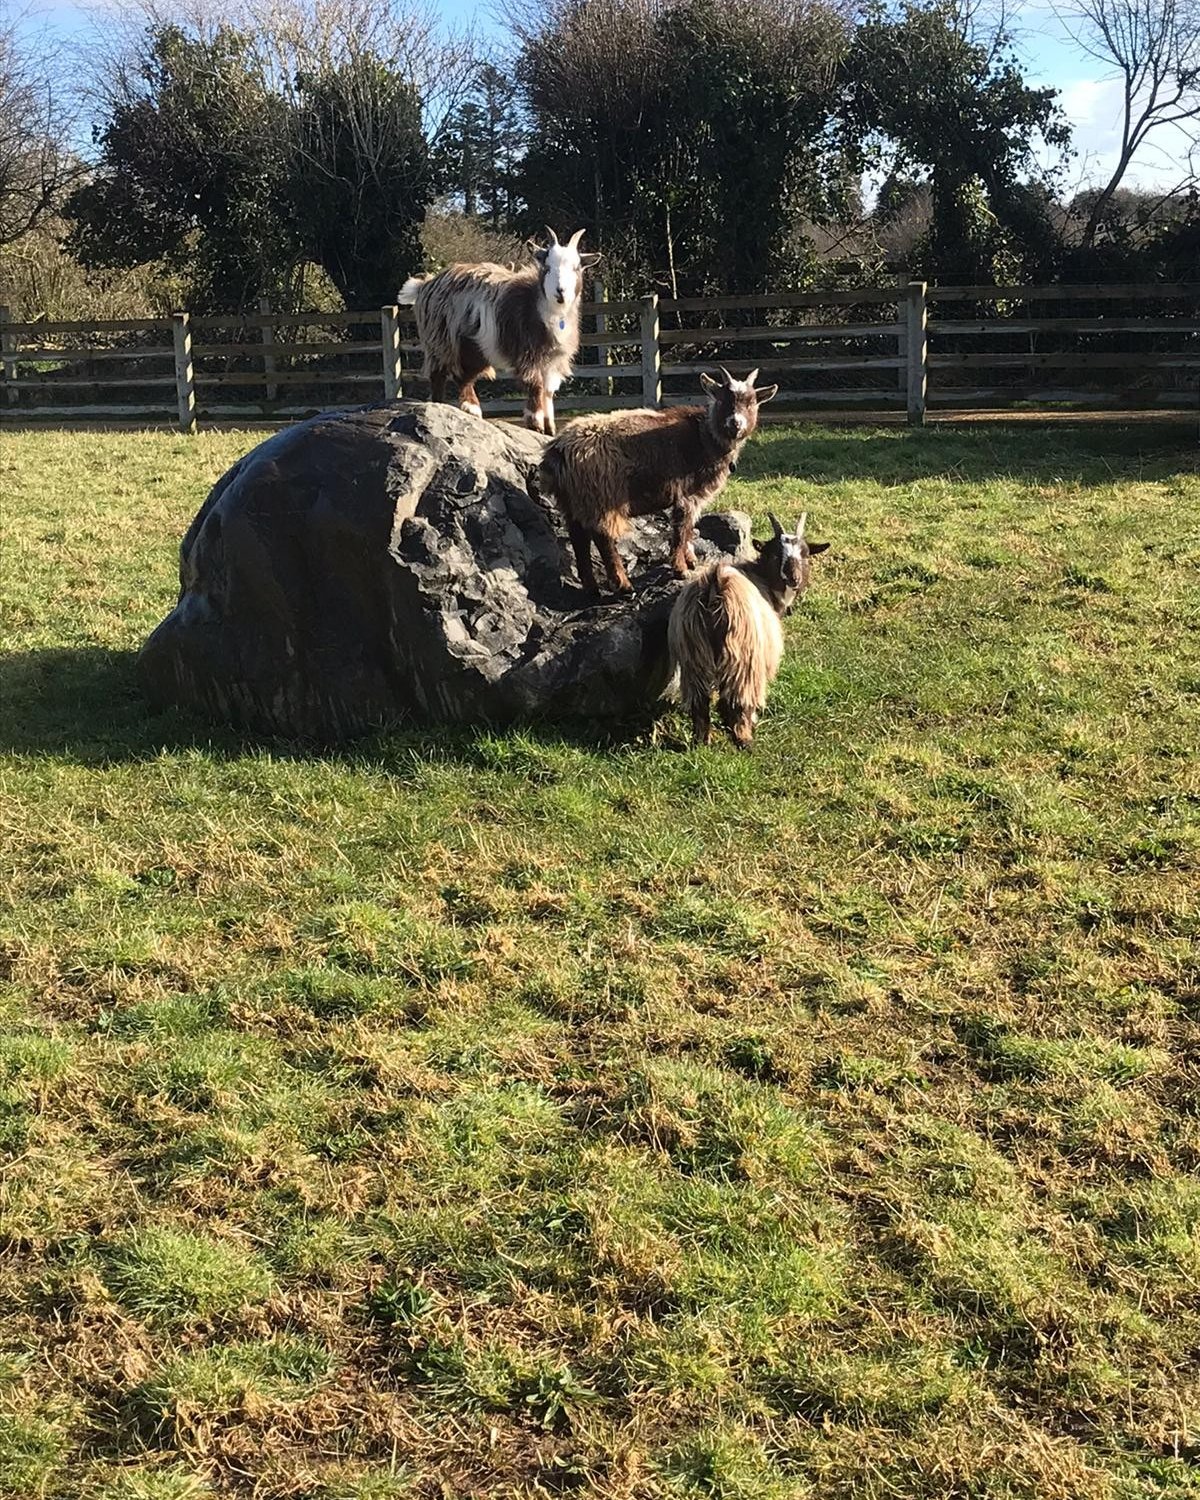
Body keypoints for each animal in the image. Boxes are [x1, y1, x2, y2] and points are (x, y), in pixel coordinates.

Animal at [398, 228, 599, 435]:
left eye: (576, 268)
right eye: (547, 267)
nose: (560, 291)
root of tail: (425, 285)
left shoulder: (553, 359)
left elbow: (549, 391)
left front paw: (550, 427)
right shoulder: (527, 353)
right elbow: (536, 385)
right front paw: (535, 423)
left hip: (474, 346)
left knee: (463, 375)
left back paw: (471, 408)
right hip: (440, 340)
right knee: (438, 373)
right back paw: (441, 405)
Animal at [537, 367, 777, 594]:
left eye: (752, 403)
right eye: (722, 399)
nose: (735, 423)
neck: (704, 436)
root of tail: (559, 450)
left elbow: (688, 529)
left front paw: (691, 561)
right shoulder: (687, 496)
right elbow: (681, 530)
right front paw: (681, 569)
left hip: (573, 501)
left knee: (578, 538)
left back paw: (591, 588)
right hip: (601, 495)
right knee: (602, 537)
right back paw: (623, 585)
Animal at [667, 512, 828, 750]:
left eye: (805, 554)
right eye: (775, 555)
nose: (794, 579)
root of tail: (715, 585)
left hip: (694, 653)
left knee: (700, 700)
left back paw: (702, 741)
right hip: (743, 656)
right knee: (735, 700)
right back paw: (745, 739)